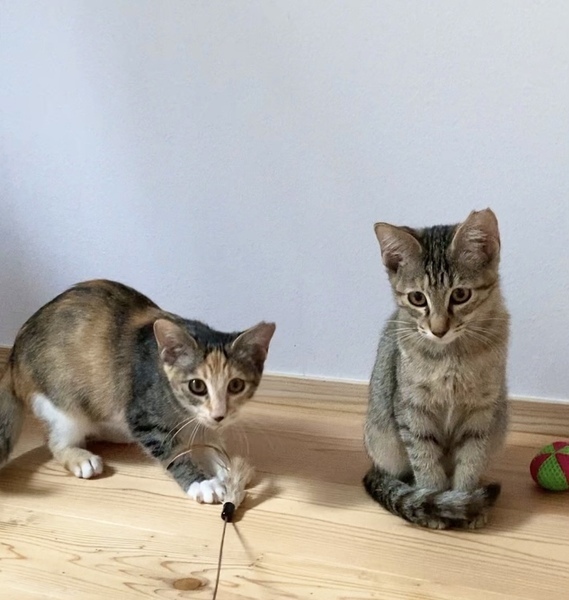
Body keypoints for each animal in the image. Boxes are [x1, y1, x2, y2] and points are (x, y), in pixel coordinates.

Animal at [0, 279, 275, 504]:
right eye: (197, 386)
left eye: (236, 385)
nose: (220, 415)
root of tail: (13, 357)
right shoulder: (143, 415)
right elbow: (172, 450)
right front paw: (202, 482)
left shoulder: (202, 421)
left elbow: (208, 440)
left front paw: (228, 468)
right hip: (63, 403)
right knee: (56, 440)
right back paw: (79, 456)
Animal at [363, 208, 509, 529]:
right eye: (417, 298)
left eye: (461, 295)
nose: (438, 329)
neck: (450, 357)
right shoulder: (412, 409)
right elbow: (425, 461)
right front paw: (437, 506)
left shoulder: (482, 412)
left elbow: (471, 461)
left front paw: (466, 501)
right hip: (383, 440)